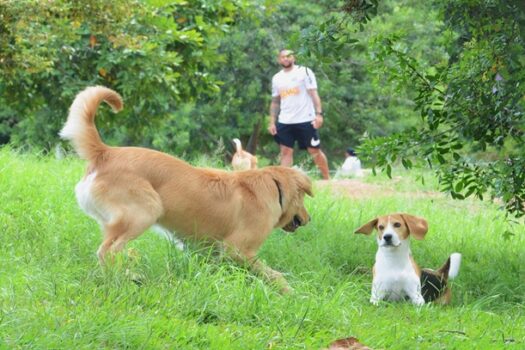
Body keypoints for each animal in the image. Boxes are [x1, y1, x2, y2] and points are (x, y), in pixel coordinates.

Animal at [59, 85, 312, 292]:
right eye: (304, 200)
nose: (308, 219)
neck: (273, 187)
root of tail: (106, 152)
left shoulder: (207, 251)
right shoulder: (238, 249)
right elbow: (272, 274)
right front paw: (290, 292)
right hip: (146, 210)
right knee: (107, 252)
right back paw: (125, 278)